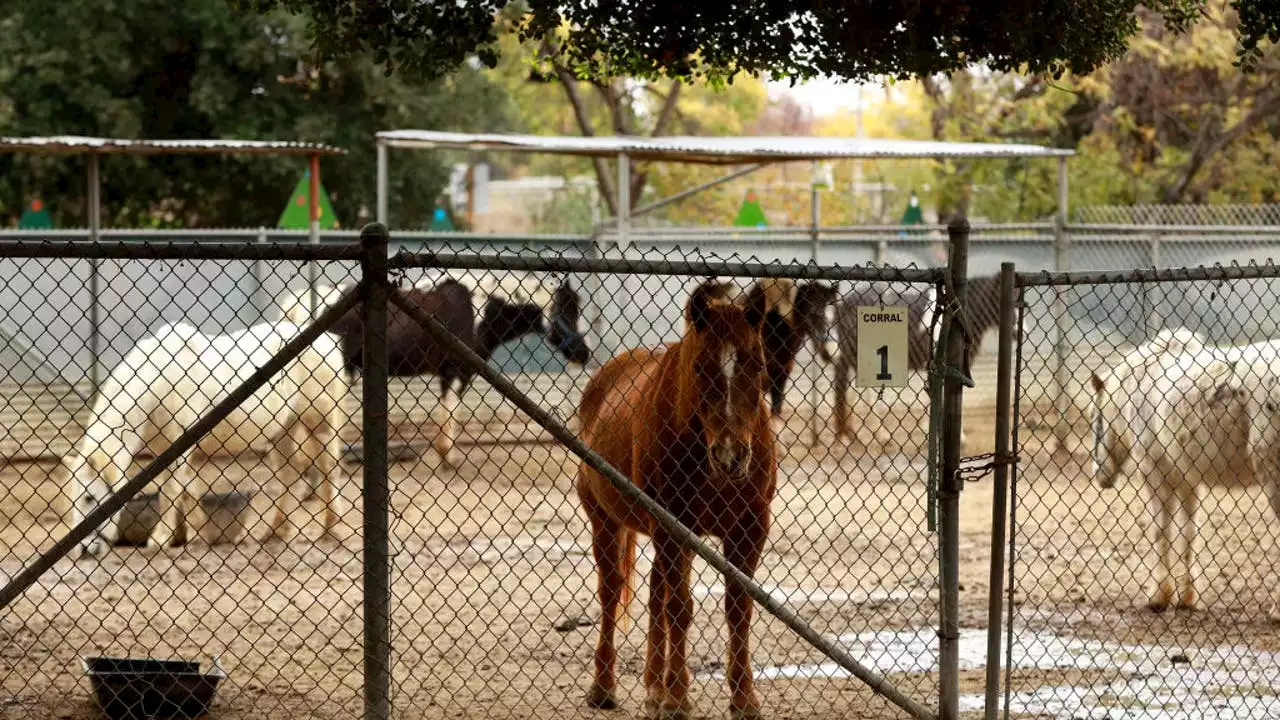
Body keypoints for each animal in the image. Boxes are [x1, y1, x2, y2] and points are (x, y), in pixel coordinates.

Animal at [64, 320, 350, 556]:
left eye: (89, 497)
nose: (84, 549)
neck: (159, 382)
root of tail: (327, 339)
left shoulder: (178, 447)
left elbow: (171, 490)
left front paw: (161, 539)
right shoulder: (167, 450)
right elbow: (187, 488)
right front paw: (201, 532)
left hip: (320, 422)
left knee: (329, 469)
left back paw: (331, 529)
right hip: (282, 429)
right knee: (290, 473)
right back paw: (276, 532)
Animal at [578, 278, 773, 717]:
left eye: (757, 364)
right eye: (700, 368)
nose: (731, 456)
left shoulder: (750, 528)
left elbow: (738, 608)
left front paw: (743, 697)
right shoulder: (672, 525)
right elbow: (680, 607)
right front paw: (678, 698)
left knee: (654, 591)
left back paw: (653, 686)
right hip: (605, 519)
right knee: (612, 592)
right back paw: (605, 687)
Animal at [1085, 327, 1280, 614]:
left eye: (1094, 417)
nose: (1099, 474)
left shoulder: (1155, 473)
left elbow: (1160, 531)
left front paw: (1159, 597)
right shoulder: (1187, 480)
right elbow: (1188, 533)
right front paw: (1186, 597)